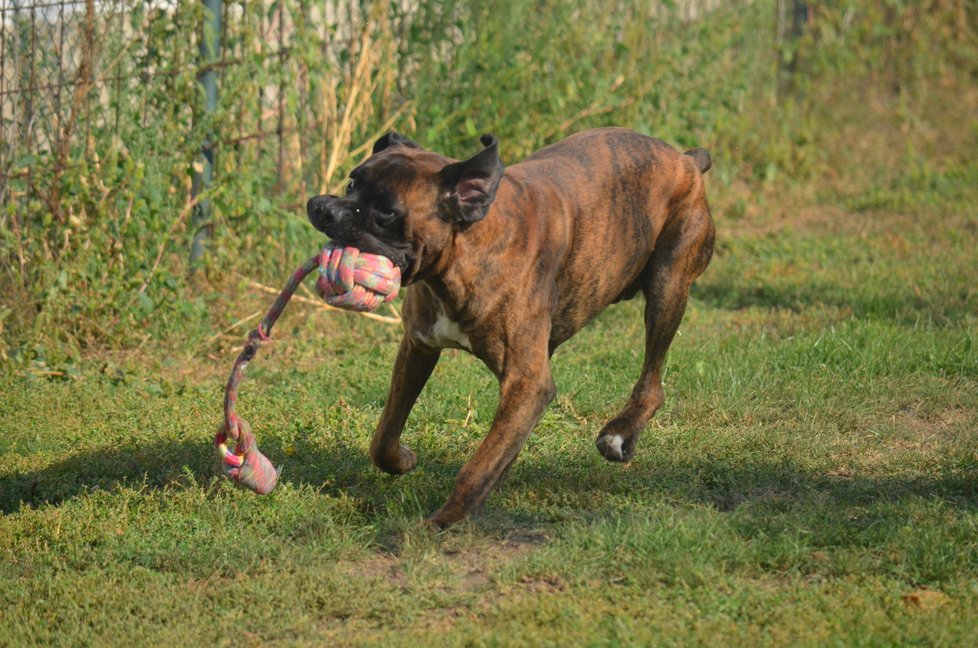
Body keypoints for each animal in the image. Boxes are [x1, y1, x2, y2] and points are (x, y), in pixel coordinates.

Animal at [308, 126, 712, 528]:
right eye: (351, 183)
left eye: (386, 211)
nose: (324, 207)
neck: (465, 251)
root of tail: (685, 159)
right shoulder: (419, 348)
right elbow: (385, 434)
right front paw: (403, 460)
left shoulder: (527, 383)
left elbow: (476, 468)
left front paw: (445, 520)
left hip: (667, 287)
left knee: (652, 383)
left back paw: (618, 434)